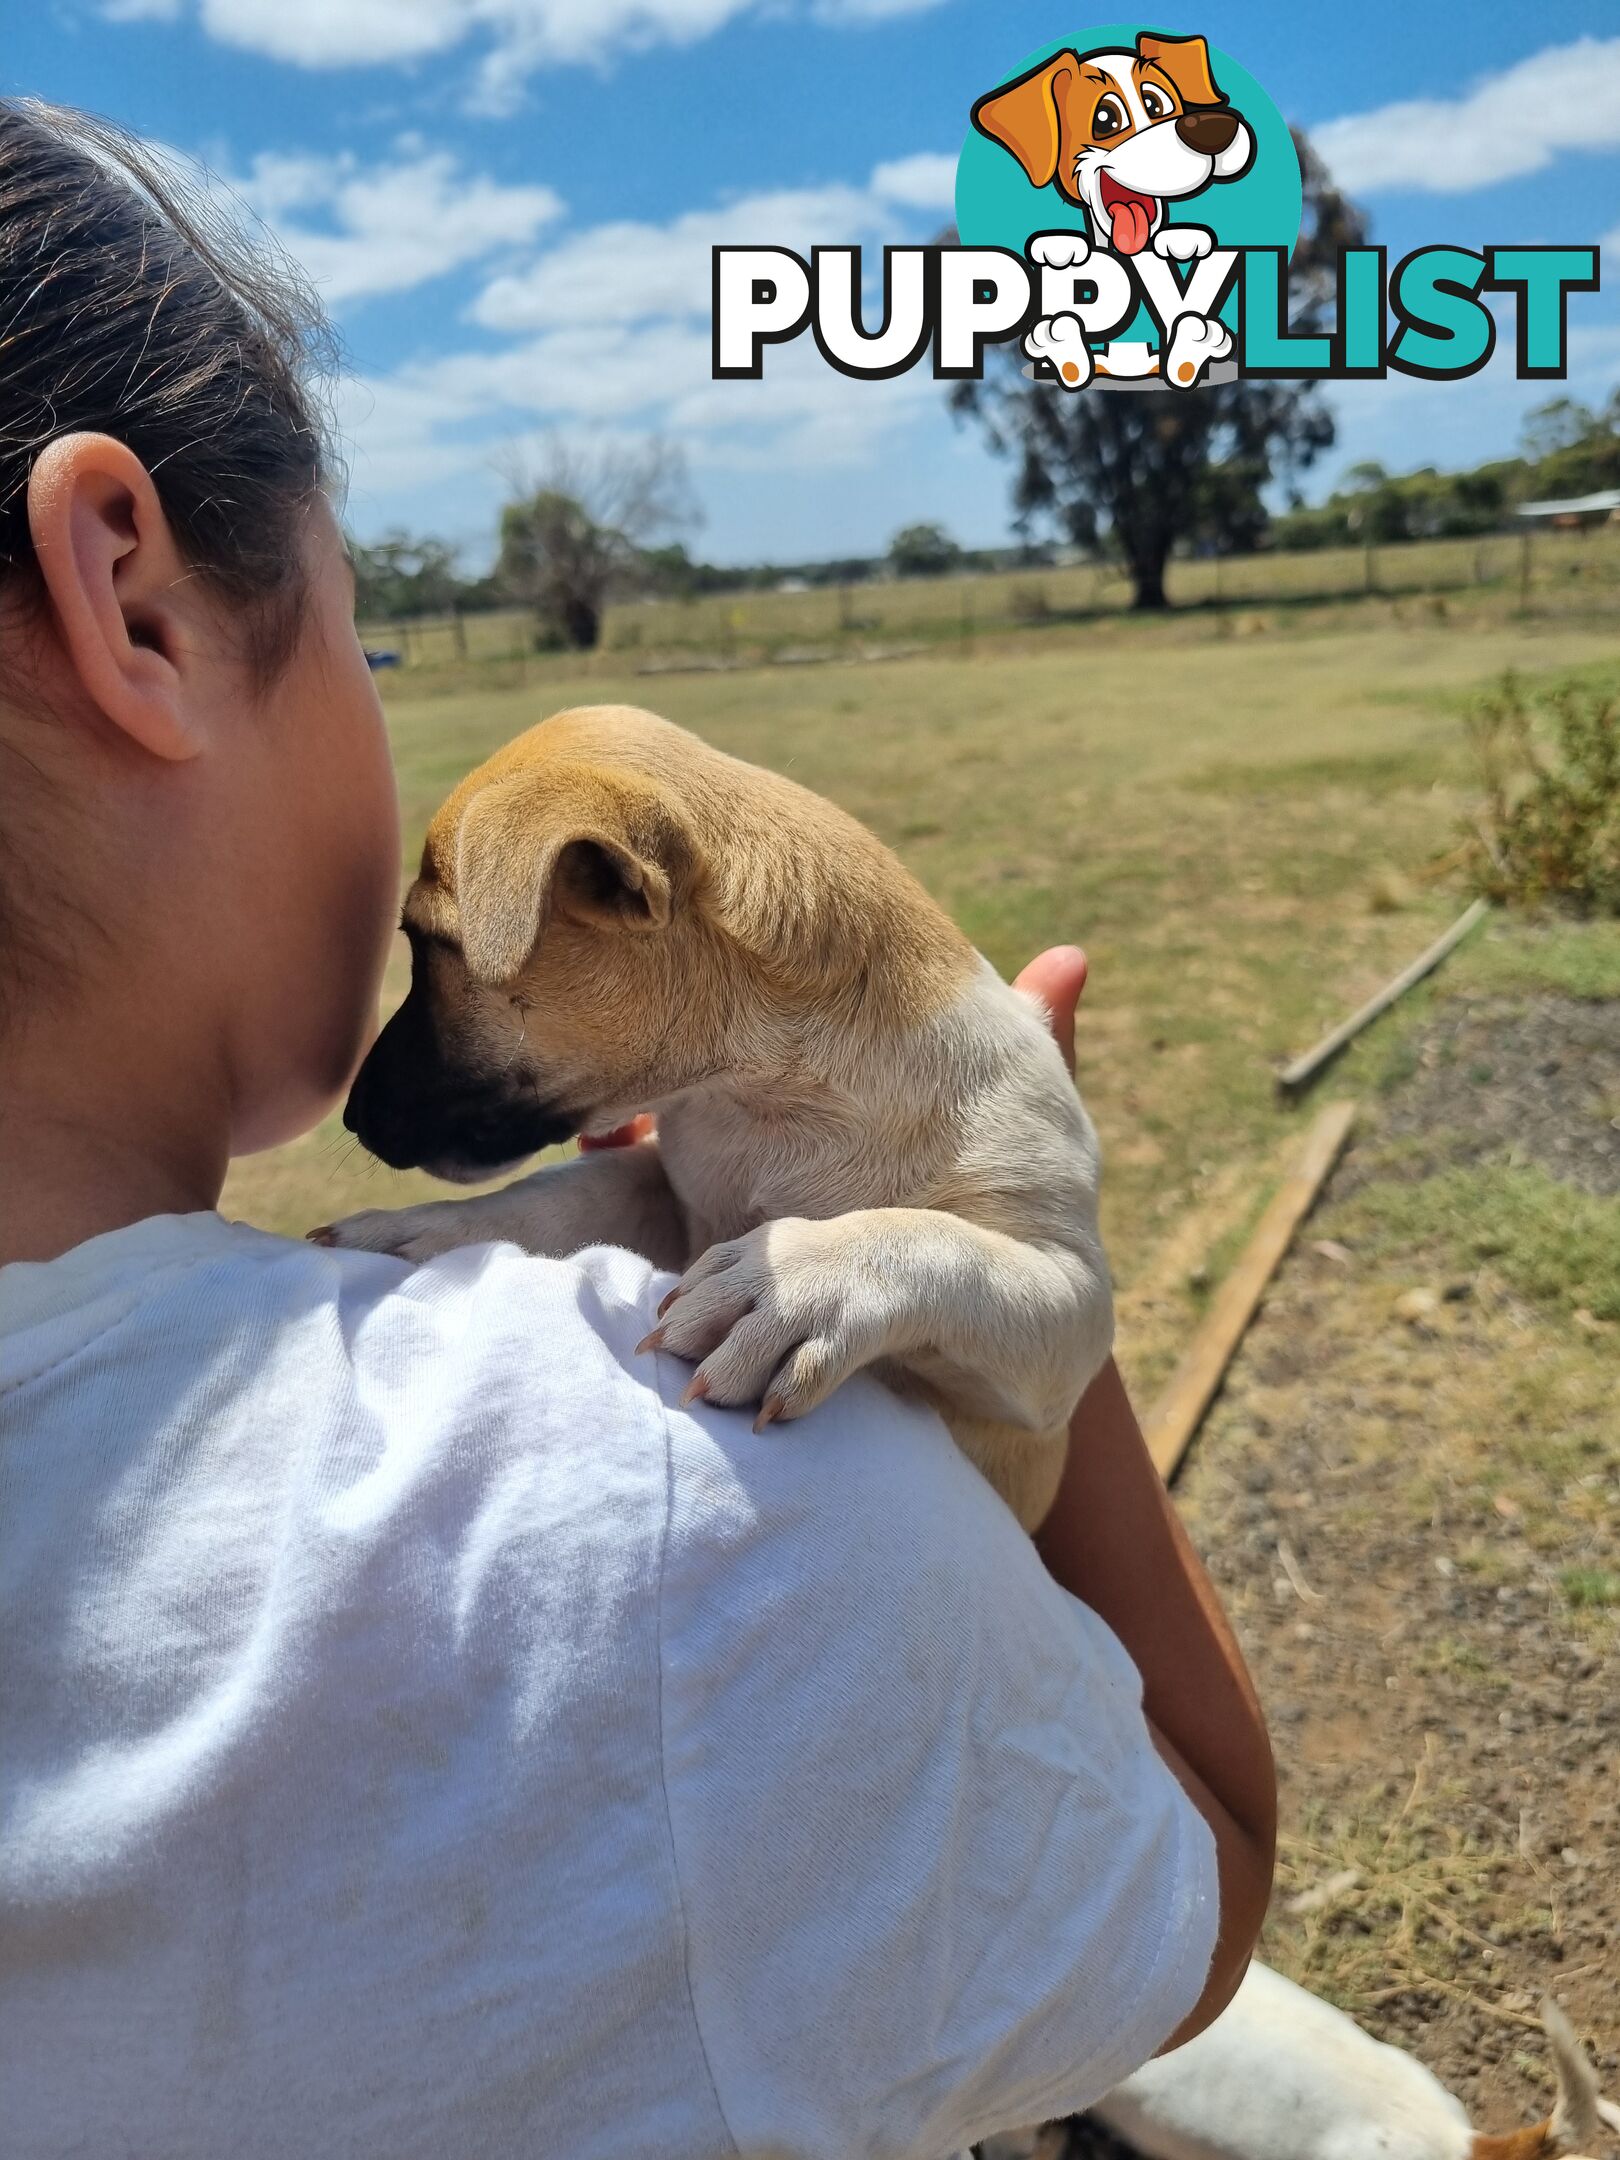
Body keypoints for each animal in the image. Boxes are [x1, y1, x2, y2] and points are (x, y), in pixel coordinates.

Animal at [326, 704, 1114, 1520]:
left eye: (429, 945)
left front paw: (794, 1284)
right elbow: (567, 1190)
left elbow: (935, 1240)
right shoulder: (672, 1189)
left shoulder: (1071, 1301)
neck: (765, 1094)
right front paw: (424, 1231)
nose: (351, 1117)